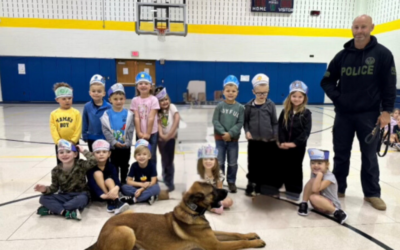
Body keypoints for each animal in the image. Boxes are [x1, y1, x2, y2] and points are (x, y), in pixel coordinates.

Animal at [85, 182, 266, 250]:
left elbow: (235, 233)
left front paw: (251, 234)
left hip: (130, 214)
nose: (228, 190)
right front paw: (256, 242)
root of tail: (99, 237)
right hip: (127, 231)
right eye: (213, 191)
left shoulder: (213, 235)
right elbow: (240, 242)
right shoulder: (215, 245)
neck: (193, 211)